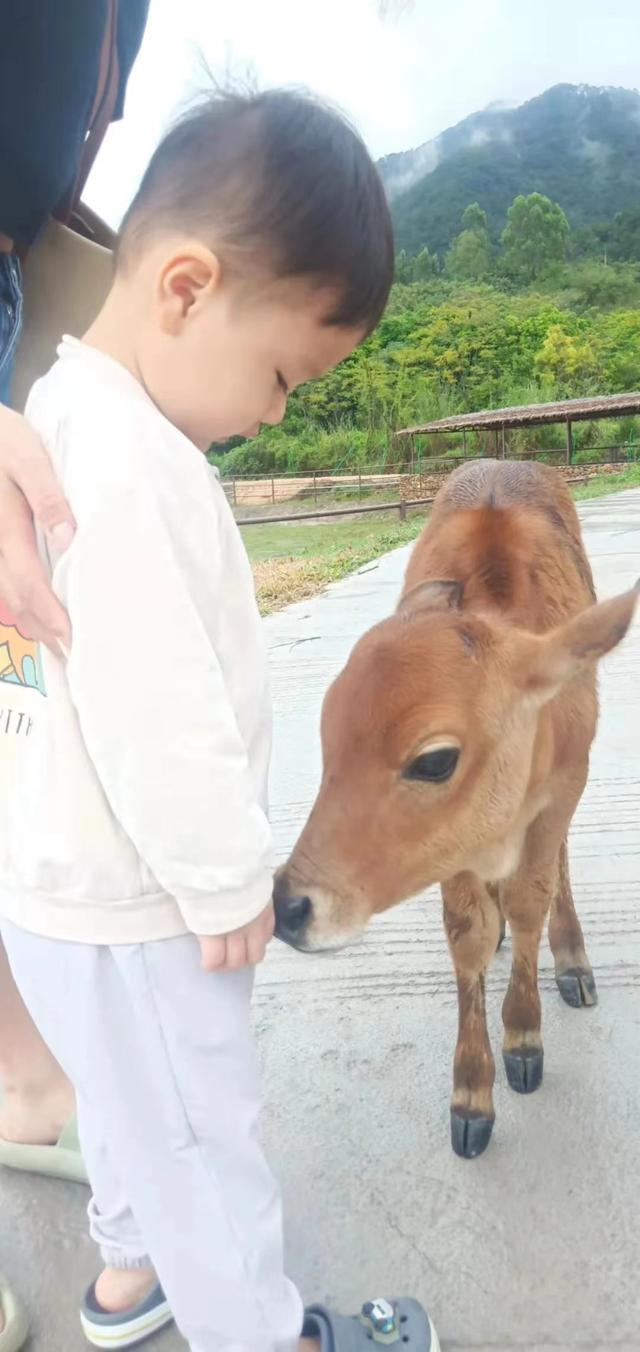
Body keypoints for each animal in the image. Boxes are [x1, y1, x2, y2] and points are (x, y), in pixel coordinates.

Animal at [271, 459, 635, 1157]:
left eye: (434, 760)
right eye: (328, 737)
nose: (289, 907)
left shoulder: (562, 787)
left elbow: (530, 899)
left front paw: (524, 1038)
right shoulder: (456, 843)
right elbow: (469, 933)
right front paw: (471, 1093)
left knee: (556, 871)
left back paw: (571, 957)